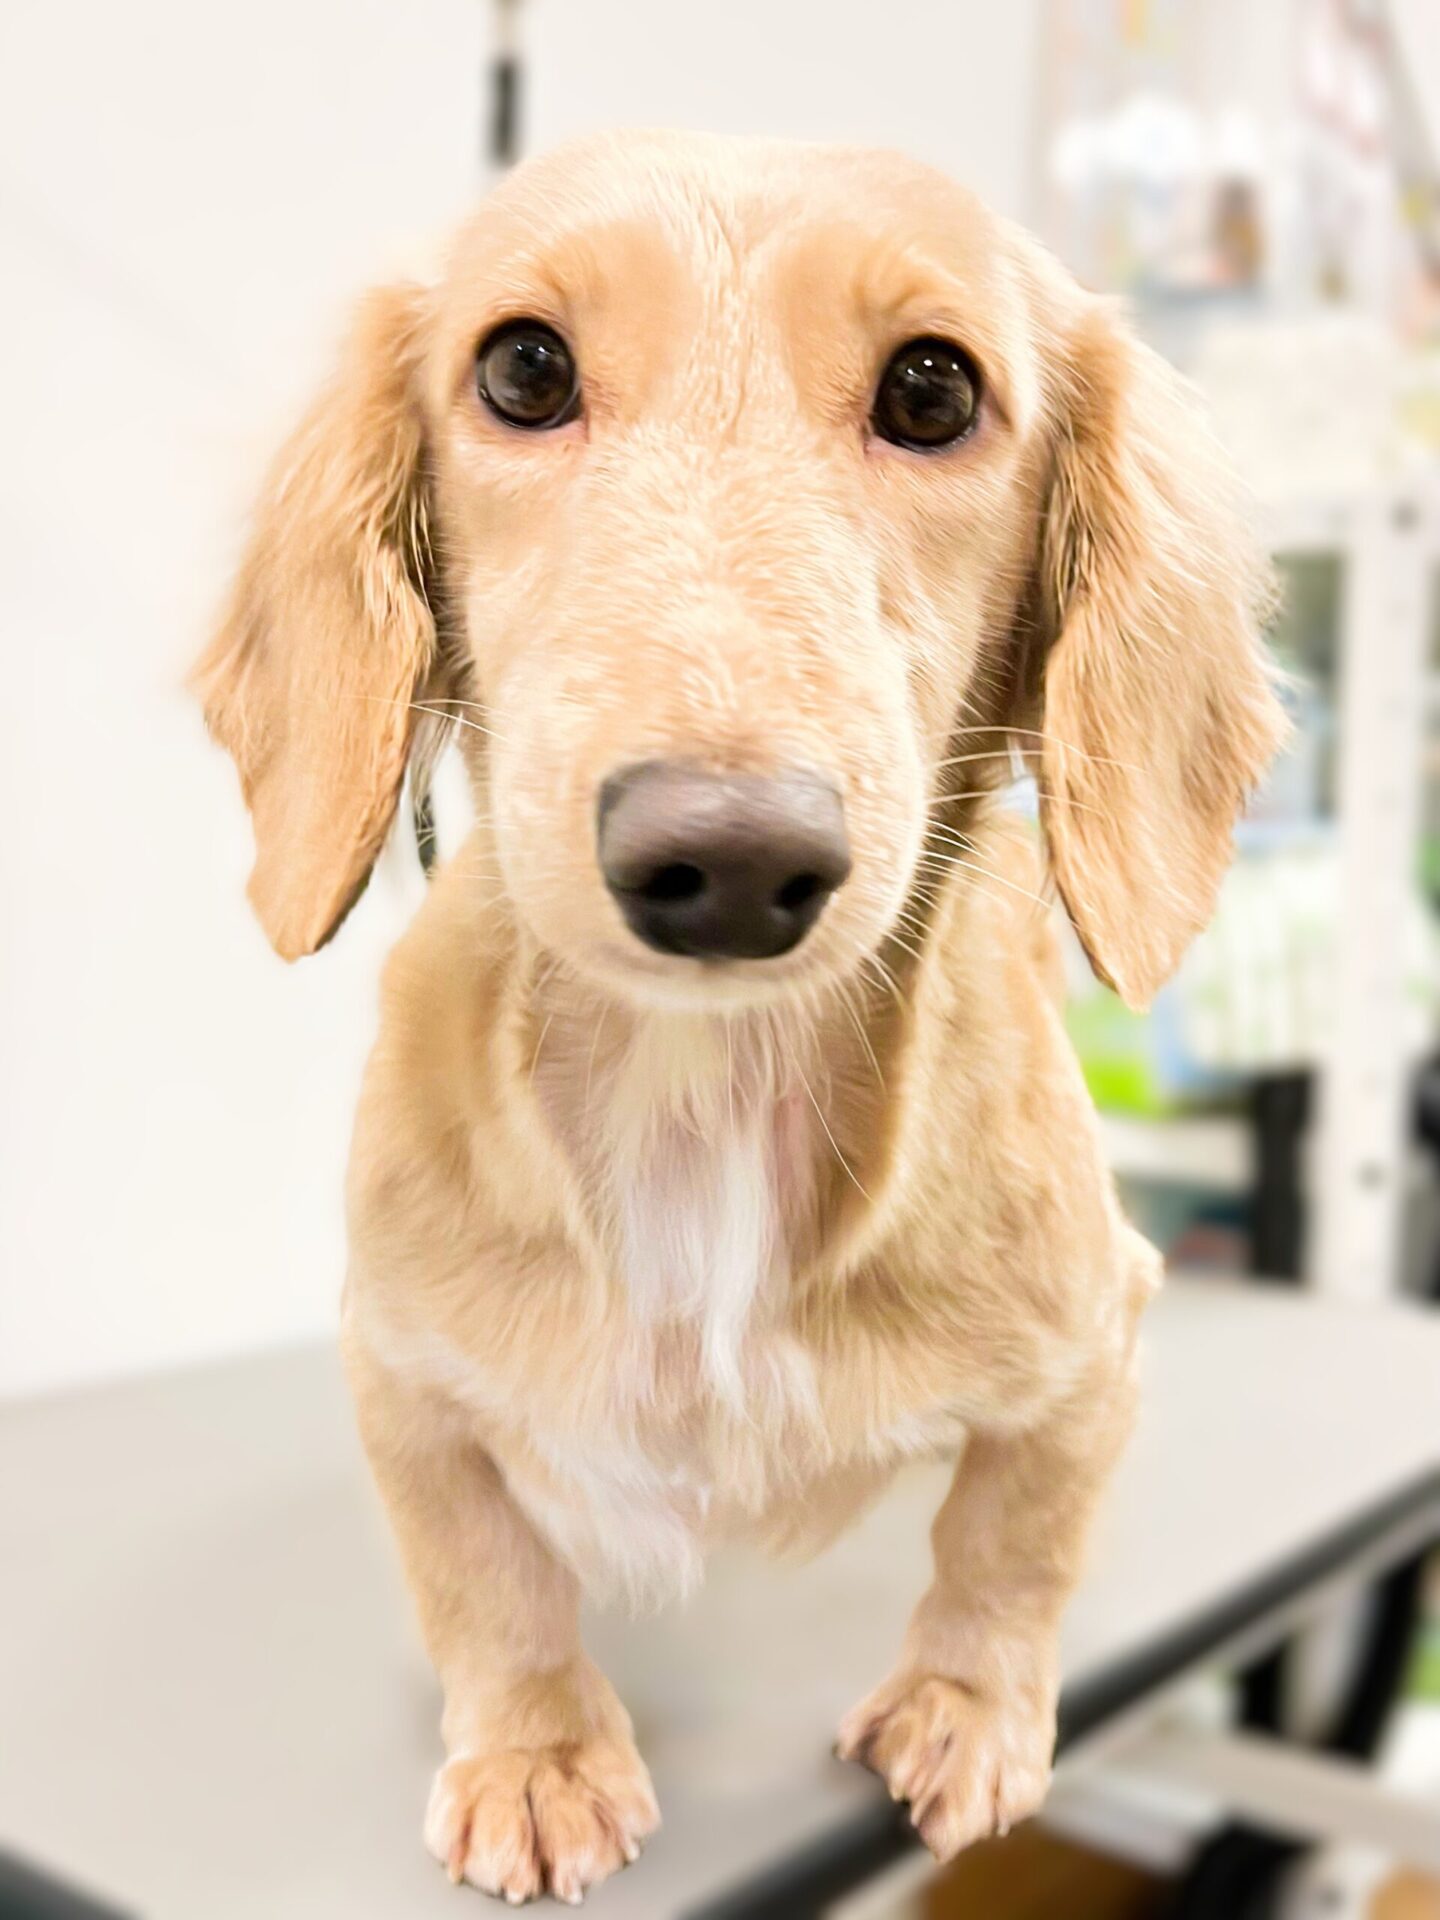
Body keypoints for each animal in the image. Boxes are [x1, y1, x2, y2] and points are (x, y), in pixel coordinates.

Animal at [194, 129, 1283, 1905]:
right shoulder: (398, 1370)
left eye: (933, 388)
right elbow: (486, 1573)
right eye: (522, 366)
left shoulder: (1098, 1337)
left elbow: (1012, 1538)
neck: (697, 1092)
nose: (725, 861)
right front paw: (538, 1753)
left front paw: (967, 1705)